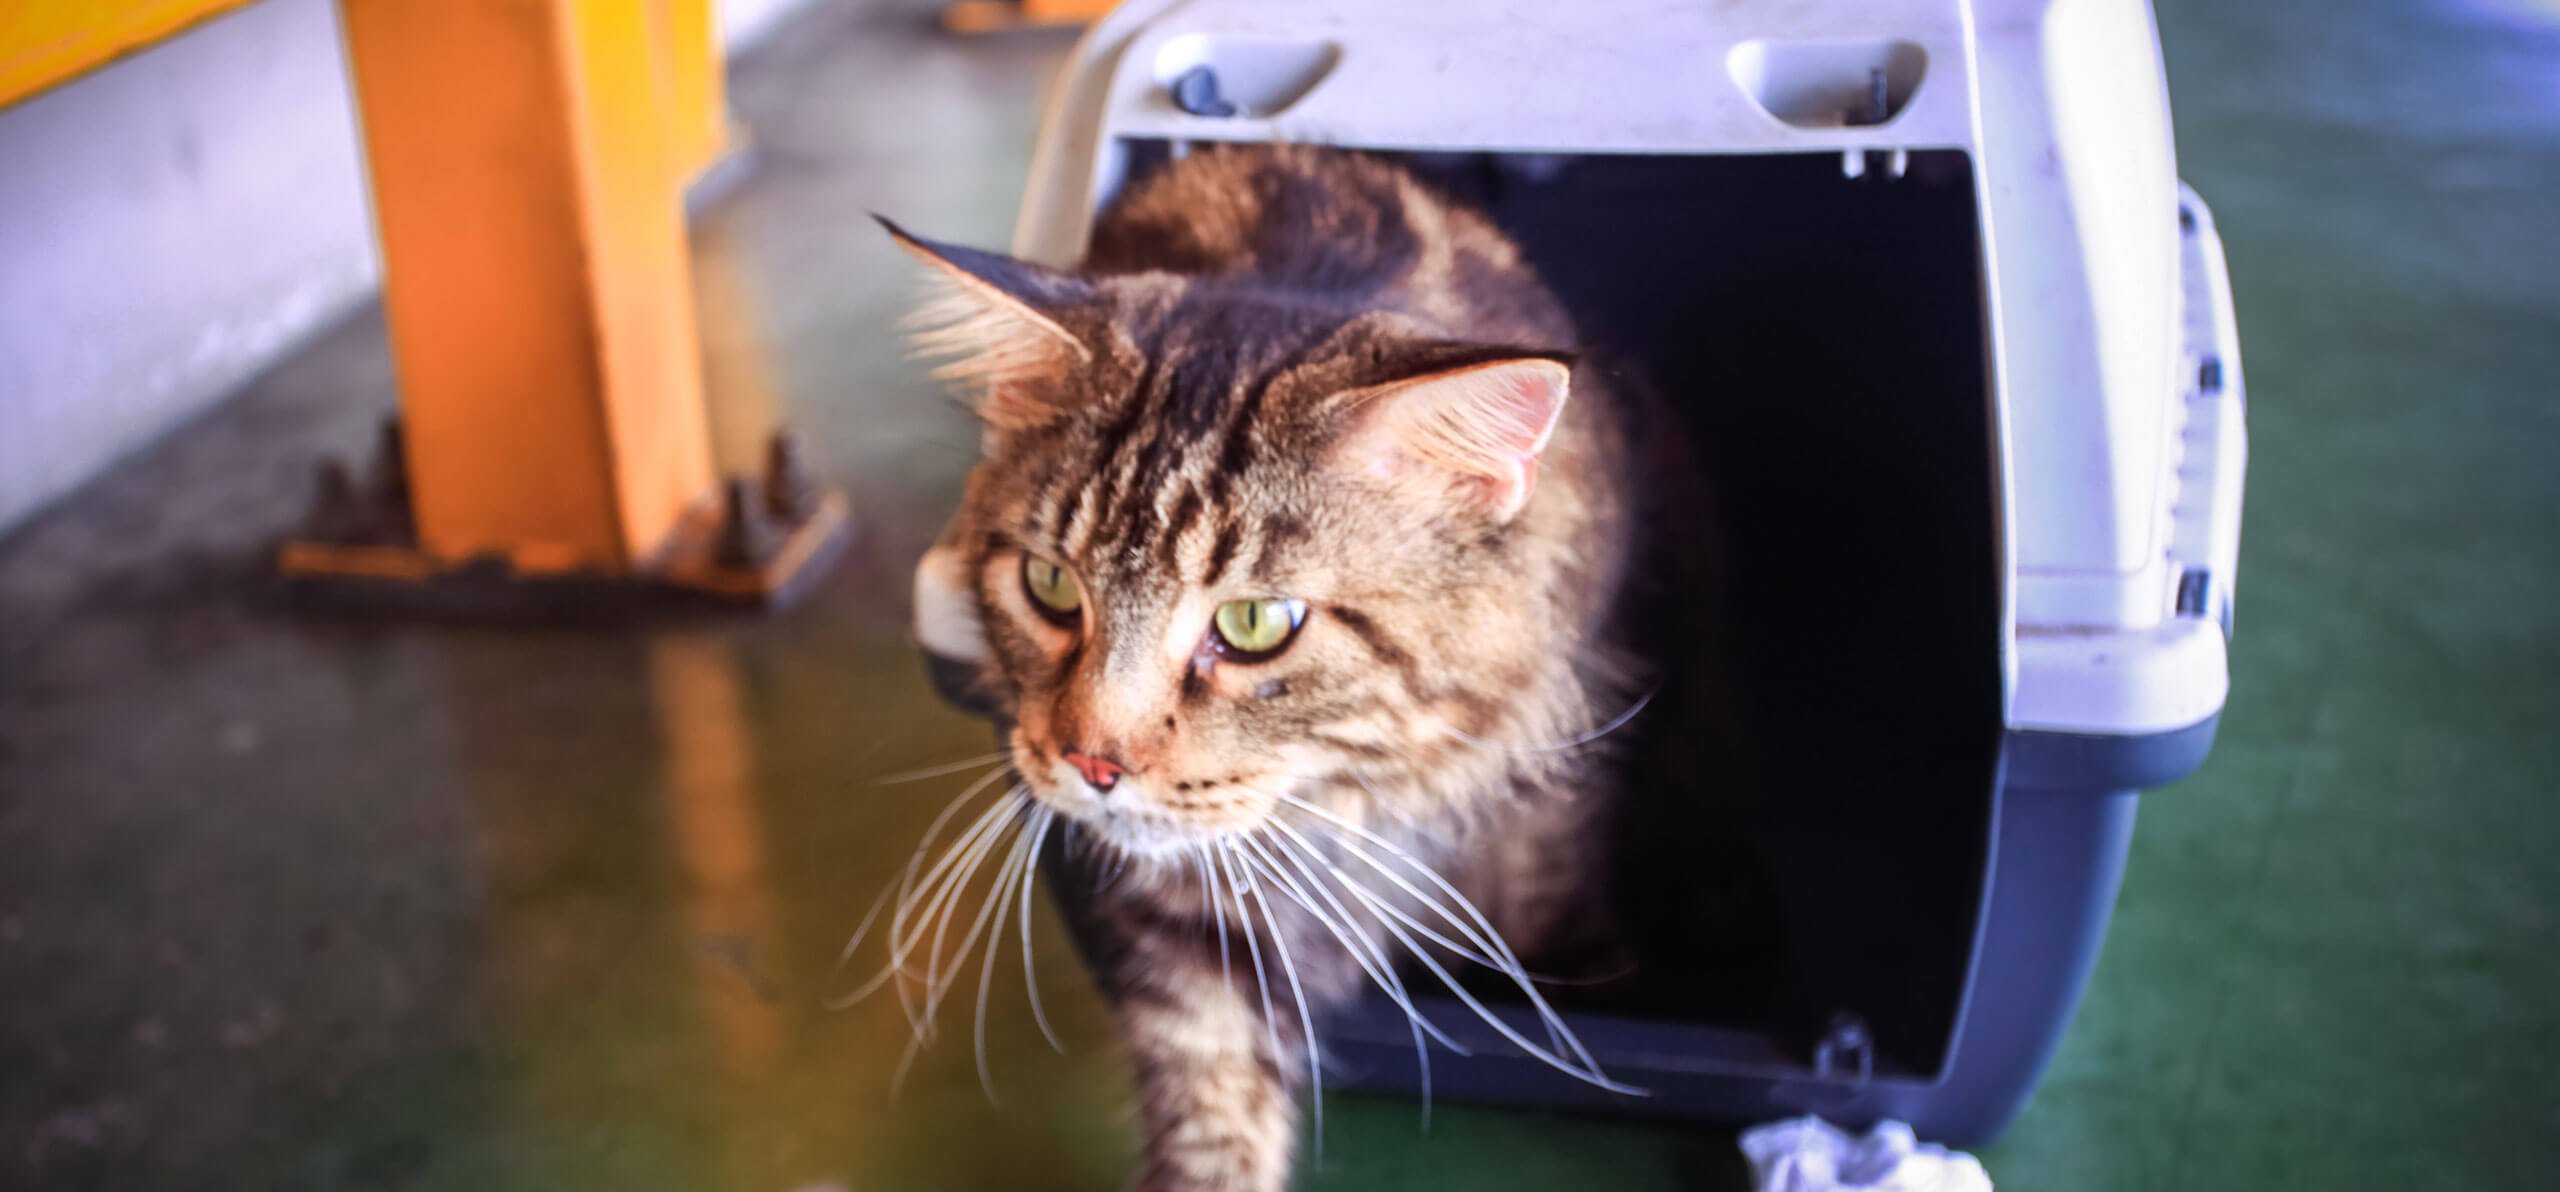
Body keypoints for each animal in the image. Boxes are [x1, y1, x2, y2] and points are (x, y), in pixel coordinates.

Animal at [870, 146, 1689, 1192]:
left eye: (1257, 623)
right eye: (1050, 585)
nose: (1094, 764)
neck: (1348, 794)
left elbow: (1547, 875)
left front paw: (1576, 974)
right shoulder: (1196, 931)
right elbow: (1213, 1091)